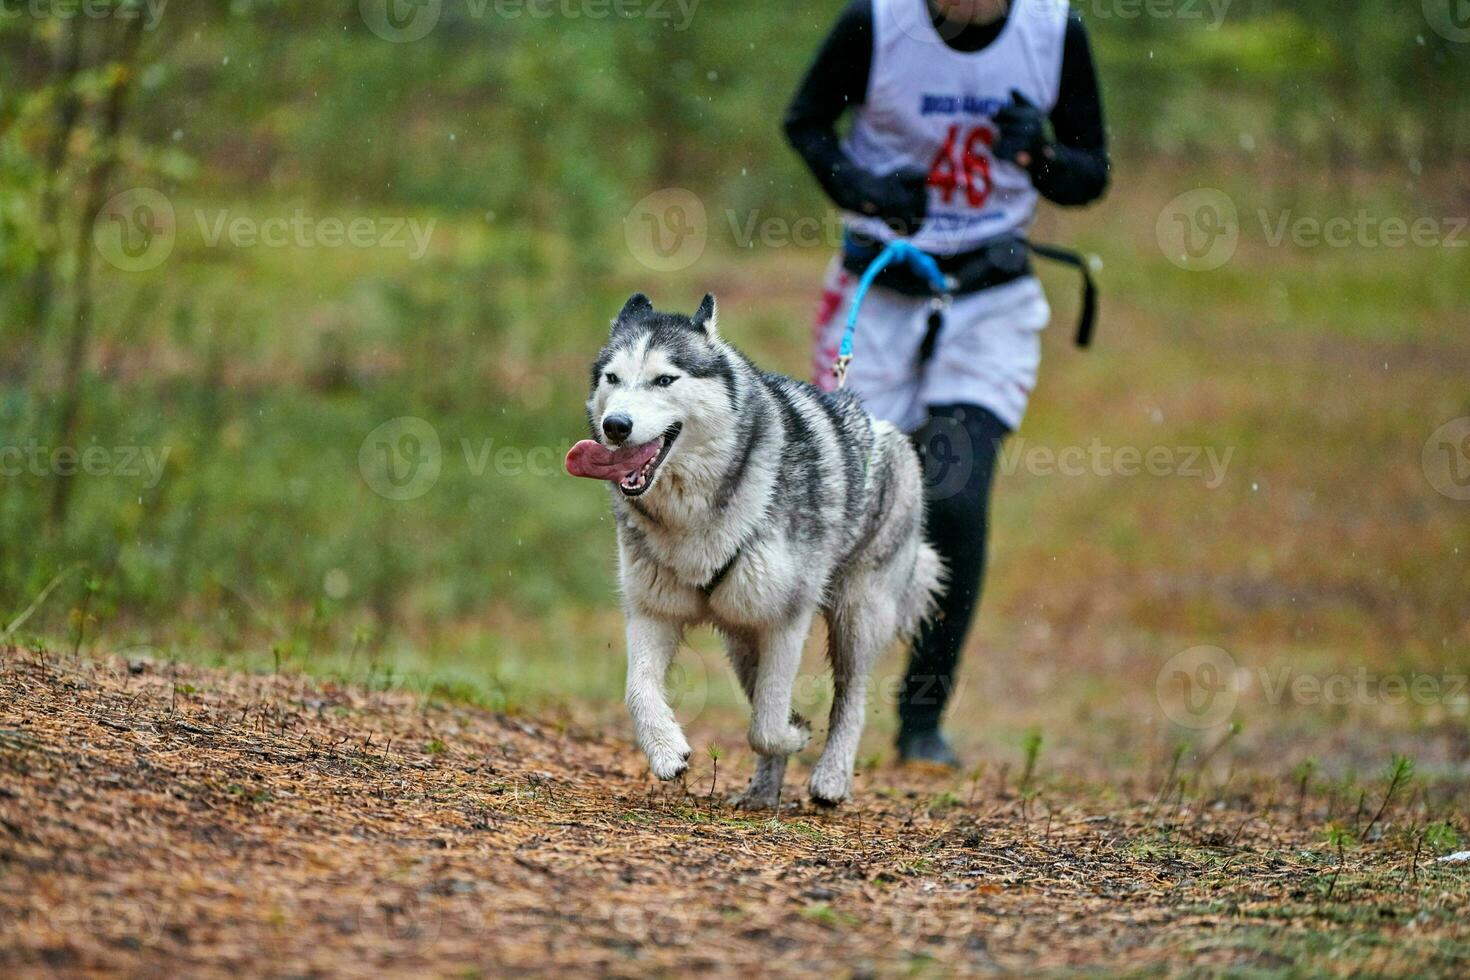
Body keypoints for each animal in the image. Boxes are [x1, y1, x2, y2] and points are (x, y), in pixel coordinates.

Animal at [561, 295, 940, 811]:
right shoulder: (652, 610)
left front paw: (795, 734)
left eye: (665, 380)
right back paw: (762, 793)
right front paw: (666, 752)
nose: (616, 425)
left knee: (852, 698)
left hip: (858, 616)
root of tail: (889, 430)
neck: (693, 515)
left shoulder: (785, 619)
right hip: (741, 635)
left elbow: (767, 723)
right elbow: (637, 690)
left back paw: (831, 779)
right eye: (613, 378)